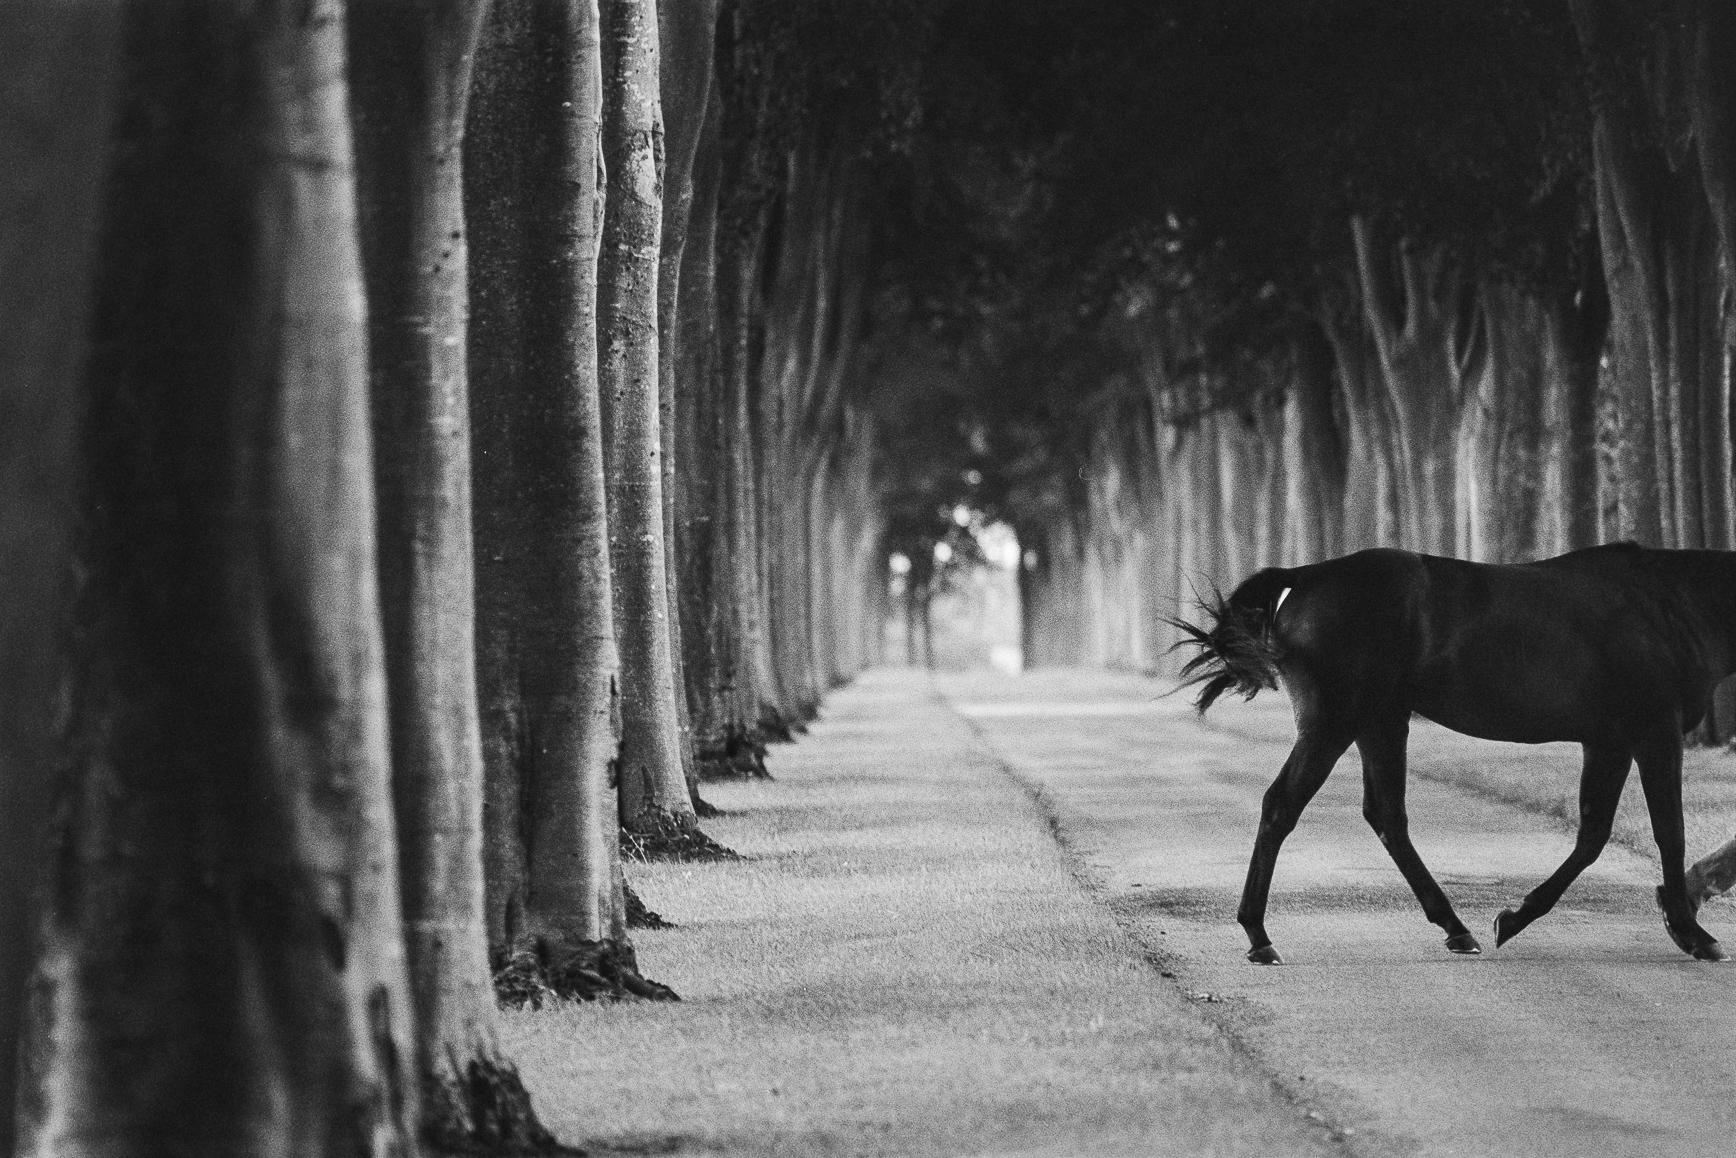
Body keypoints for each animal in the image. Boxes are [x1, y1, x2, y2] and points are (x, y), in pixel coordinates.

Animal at [1173, 545, 1729, 972]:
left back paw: (1457, 928)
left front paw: (1514, 917)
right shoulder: (1653, 732)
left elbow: (1592, 834)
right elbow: (1669, 831)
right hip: (1333, 723)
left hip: (1380, 722)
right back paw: (1259, 937)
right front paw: (1695, 934)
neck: (1669, 604)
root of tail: (1303, 577)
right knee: (1282, 806)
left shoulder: (1608, 741)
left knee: (1386, 816)